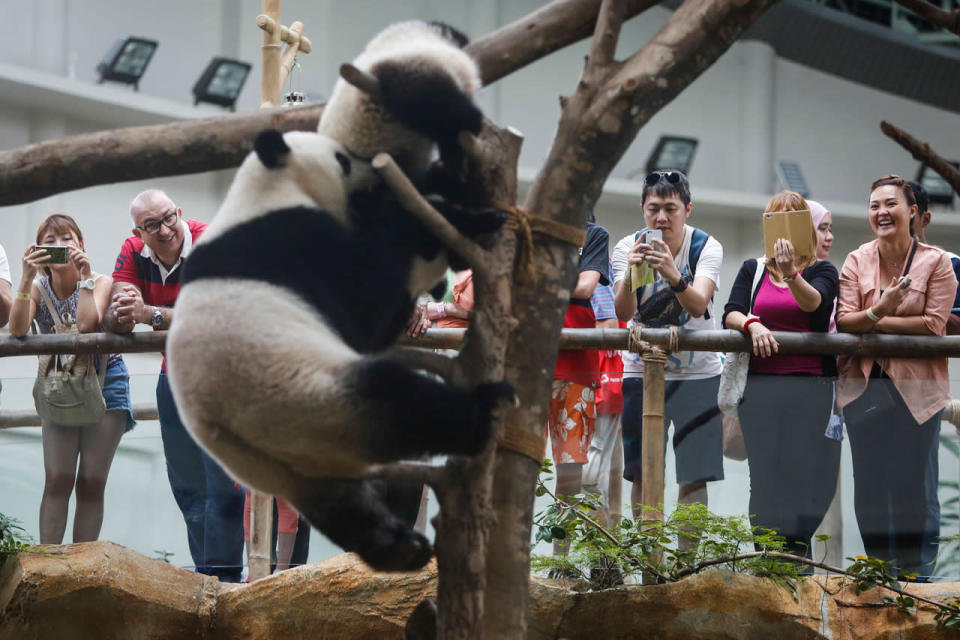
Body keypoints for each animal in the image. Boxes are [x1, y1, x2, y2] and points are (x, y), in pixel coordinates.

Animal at [166, 129, 512, 568]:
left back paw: (398, 547)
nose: (375, 174)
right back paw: (483, 412)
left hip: (295, 472)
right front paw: (447, 221)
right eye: (343, 160)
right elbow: (368, 304)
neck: (266, 188)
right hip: (310, 398)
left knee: (344, 509)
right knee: (402, 399)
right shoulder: (296, 240)